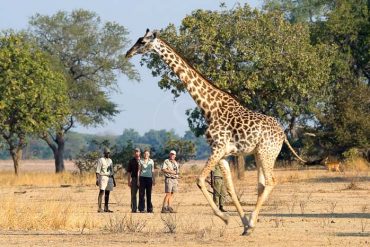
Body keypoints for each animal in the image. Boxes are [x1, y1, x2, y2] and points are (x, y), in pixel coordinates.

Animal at [125, 29, 304, 235]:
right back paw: (250, 224)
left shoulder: (217, 148)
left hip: (268, 152)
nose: (128, 53)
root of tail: (283, 133)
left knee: (271, 181)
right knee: (262, 184)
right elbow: (230, 188)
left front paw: (226, 218)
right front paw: (242, 223)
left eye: (142, 42)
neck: (209, 107)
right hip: (259, 153)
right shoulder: (224, 154)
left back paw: (252, 222)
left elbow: (200, 180)